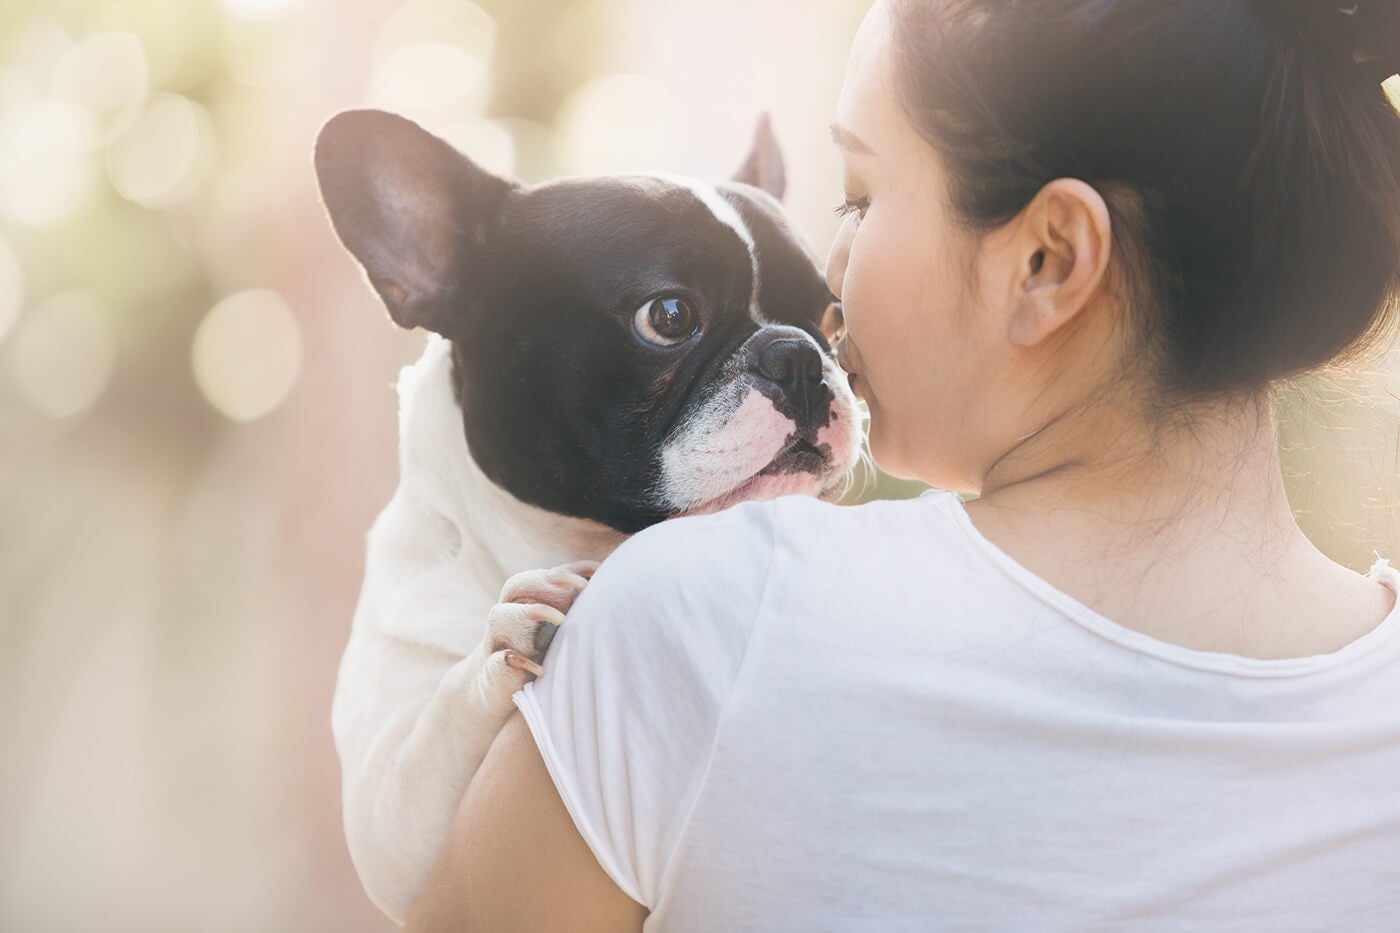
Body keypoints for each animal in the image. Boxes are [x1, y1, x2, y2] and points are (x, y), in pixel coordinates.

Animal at [317, 107, 862, 913]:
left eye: (834, 317)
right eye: (669, 316)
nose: (798, 356)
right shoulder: (393, 832)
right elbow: (431, 739)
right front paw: (504, 633)